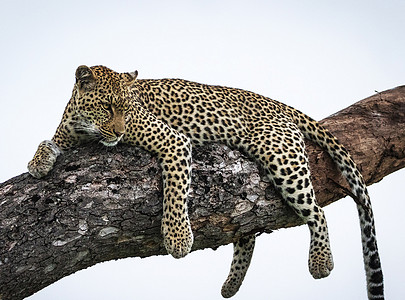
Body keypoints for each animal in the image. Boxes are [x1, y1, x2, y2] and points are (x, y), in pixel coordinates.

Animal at [27, 66, 382, 300]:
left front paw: (177, 237)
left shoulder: (173, 141)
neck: (84, 127)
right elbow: (48, 142)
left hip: (280, 157)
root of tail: (276, 102)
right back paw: (231, 285)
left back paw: (320, 262)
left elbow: (175, 190)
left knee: (317, 212)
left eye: (128, 109)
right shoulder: (67, 136)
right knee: (247, 229)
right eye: (107, 107)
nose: (118, 131)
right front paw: (37, 163)